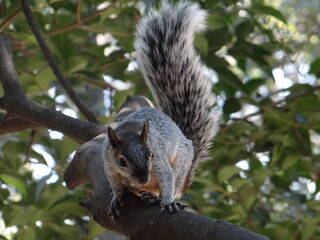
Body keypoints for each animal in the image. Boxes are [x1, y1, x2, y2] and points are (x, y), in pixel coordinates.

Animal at [102, 0, 220, 219]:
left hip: (181, 164)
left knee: (172, 183)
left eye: (151, 155)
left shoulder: (160, 163)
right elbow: (114, 184)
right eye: (121, 161)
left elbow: (166, 178)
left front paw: (166, 201)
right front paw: (116, 197)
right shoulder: (108, 163)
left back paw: (155, 197)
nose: (142, 179)